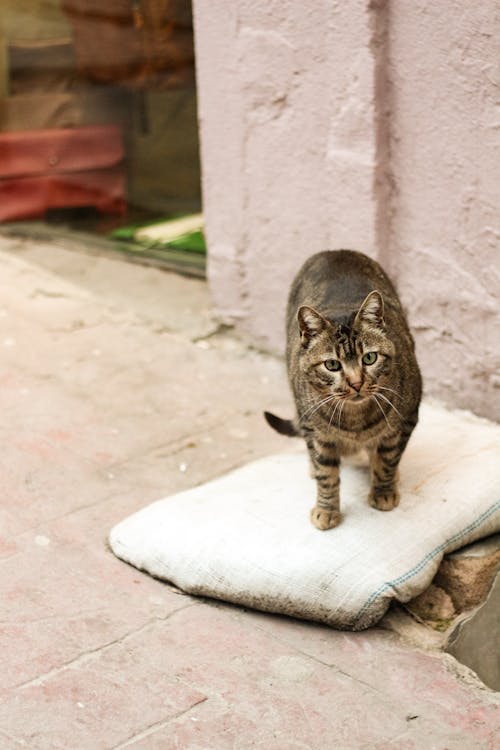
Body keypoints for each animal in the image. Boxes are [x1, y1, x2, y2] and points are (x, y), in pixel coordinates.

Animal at [266, 251, 422, 528]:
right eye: (332, 365)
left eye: (369, 358)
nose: (356, 382)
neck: (355, 420)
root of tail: (335, 250)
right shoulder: (316, 433)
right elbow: (326, 474)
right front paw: (326, 509)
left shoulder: (405, 420)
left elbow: (387, 460)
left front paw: (383, 491)